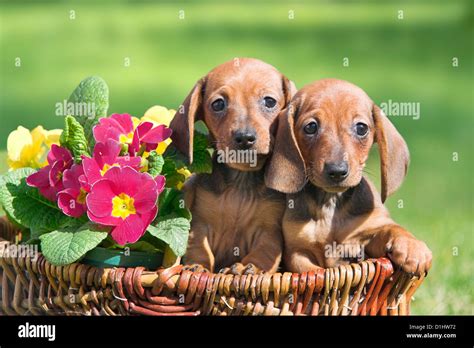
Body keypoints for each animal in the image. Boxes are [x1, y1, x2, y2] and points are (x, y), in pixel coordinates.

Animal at [170, 57, 296, 274]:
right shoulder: (200, 225)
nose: (245, 137)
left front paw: (250, 267)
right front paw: (198, 266)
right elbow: (199, 248)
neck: (241, 184)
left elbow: (264, 251)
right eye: (218, 104)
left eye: (269, 101)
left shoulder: (269, 231)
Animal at [266, 79, 434, 278]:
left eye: (361, 128)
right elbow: (314, 271)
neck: (331, 203)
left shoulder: (370, 230)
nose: (337, 171)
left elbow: (392, 228)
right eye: (311, 127)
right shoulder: (297, 252)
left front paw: (412, 247)